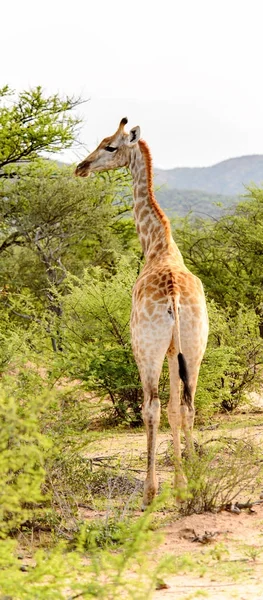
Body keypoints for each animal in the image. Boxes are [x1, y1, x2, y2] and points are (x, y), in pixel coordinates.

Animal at [75, 117, 209, 506]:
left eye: (110, 146)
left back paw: (150, 492)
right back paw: (193, 482)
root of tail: (174, 295)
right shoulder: (175, 351)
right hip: (195, 347)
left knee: (151, 407)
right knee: (188, 406)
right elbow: (178, 409)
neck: (156, 245)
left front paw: (166, 486)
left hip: (145, 349)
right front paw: (181, 483)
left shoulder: (155, 349)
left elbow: (160, 409)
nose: (81, 167)